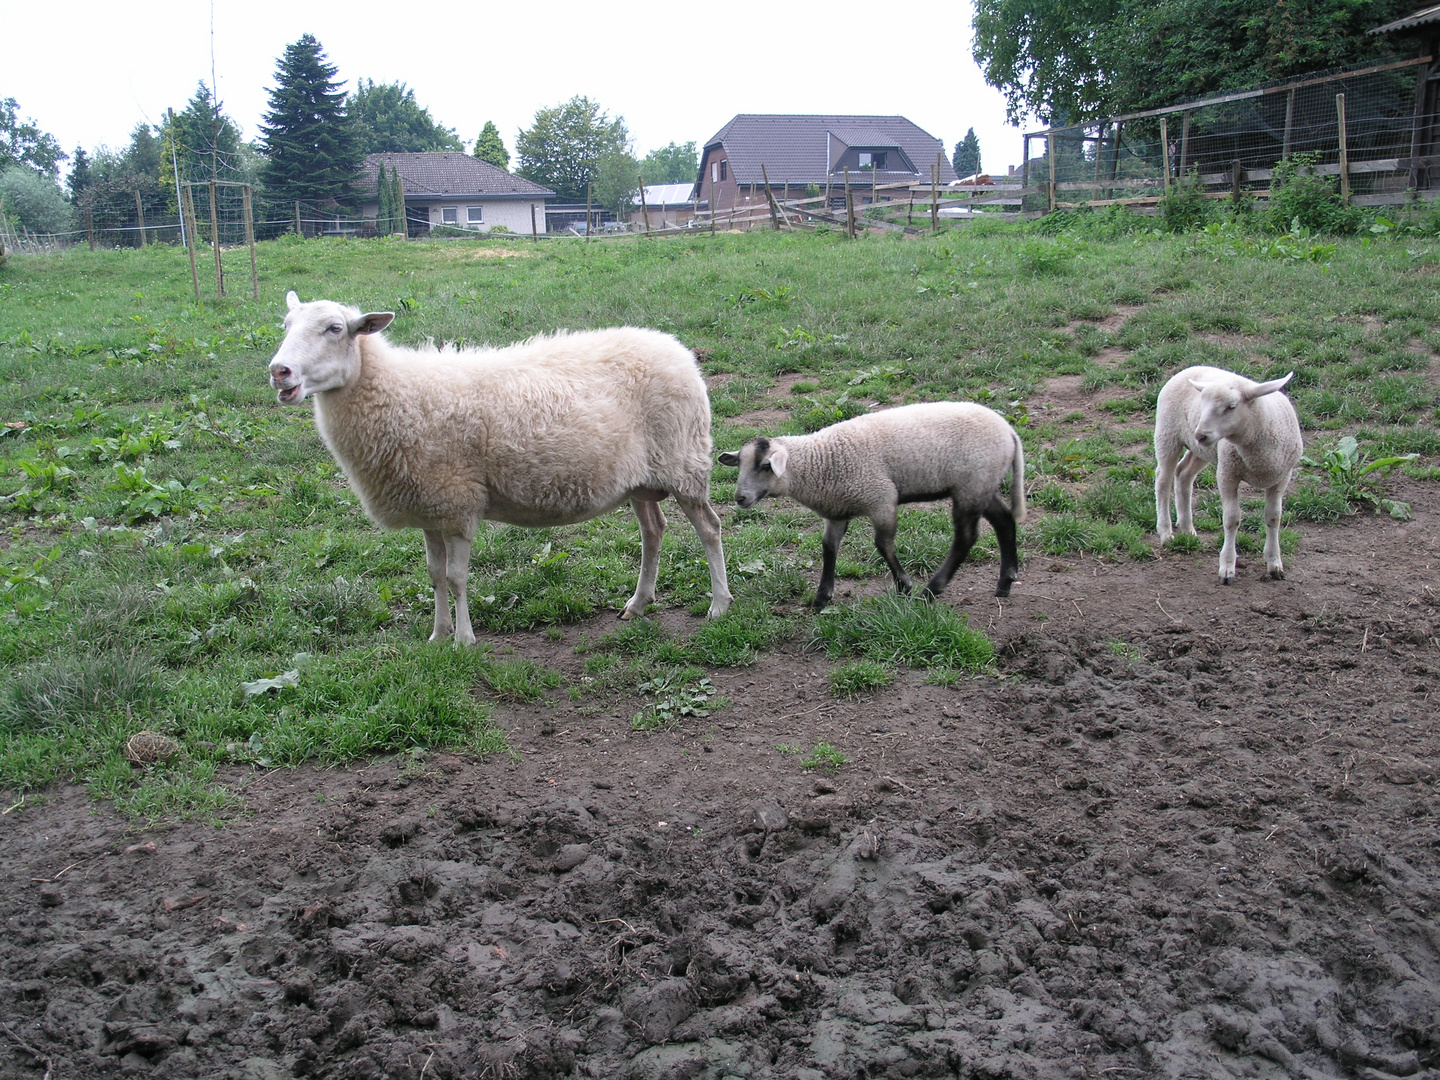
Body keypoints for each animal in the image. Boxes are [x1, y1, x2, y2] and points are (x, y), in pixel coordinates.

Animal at [267, 292, 731, 642]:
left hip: (684, 462)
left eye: (335, 328)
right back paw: (638, 603)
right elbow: (434, 576)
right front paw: (437, 637)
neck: (395, 391)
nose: (279, 371)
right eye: (285, 326)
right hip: (640, 478)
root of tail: (677, 350)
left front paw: (463, 640)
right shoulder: (429, 506)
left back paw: (719, 604)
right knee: (653, 531)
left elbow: (456, 578)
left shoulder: (457, 502)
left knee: (709, 529)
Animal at [717, 403, 1025, 613]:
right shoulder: (837, 511)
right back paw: (1005, 581)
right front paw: (822, 597)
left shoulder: (881, 499)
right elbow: (829, 548)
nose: (740, 498)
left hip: (971, 485)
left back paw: (932, 589)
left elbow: (883, 545)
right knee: (1004, 521)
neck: (820, 461)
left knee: (966, 537)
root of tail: (1010, 431)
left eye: (765, 465)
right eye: (740, 464)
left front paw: (904, 586)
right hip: (982, 485)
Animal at [1146, 364, 1307, 584]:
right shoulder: (1227, 473)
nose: (1200, 434)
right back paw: (1165, 532)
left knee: (1183, 474)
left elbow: (1274, 517)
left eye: (1231, 407)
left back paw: (1187, 529)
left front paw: (1274, 564)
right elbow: (1232, 520)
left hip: (1202, 449)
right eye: (1204, 404)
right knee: (1163, 479)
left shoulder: (1281, 477)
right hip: (1167, 434)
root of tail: (1190, 368)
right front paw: (1227, 567)